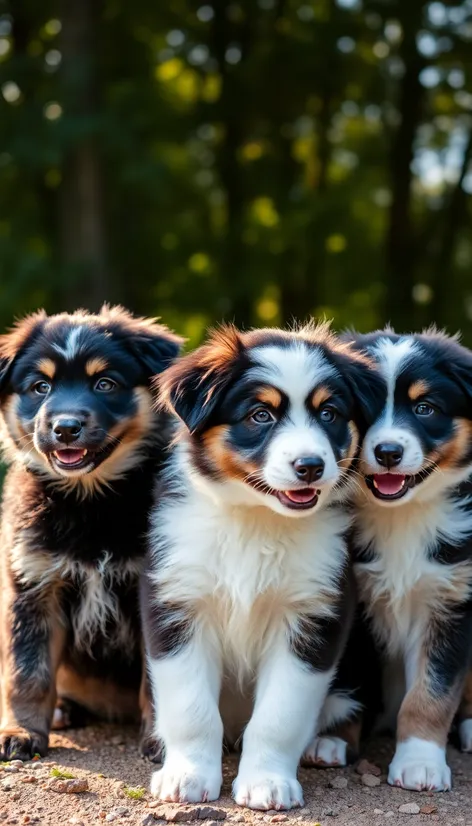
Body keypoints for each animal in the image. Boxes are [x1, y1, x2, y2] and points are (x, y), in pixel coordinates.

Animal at [0, 304, 183, 760]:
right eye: (40, 386)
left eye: (105, 383)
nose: (66, 428)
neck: (90, 502)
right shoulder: (32, 583)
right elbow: (27, 672)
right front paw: (20, 732)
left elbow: (159, 679)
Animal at [141, 324, 384, 812]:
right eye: (260, 415)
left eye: (329, 413)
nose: (310, 466)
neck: (256, 519)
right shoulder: (177, 603)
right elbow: (190, 707)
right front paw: (186, 775)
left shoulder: (315, 615)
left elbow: (279, 715)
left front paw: (267, 783)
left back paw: (327, 744)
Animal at [324, 328, 472, 792]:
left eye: (425, 408)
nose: (388, 451)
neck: (401, 518)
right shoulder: (349, 603)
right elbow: (348, 680)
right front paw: (333, 739)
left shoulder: (451, 602)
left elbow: (431, 693)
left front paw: (420, 762)